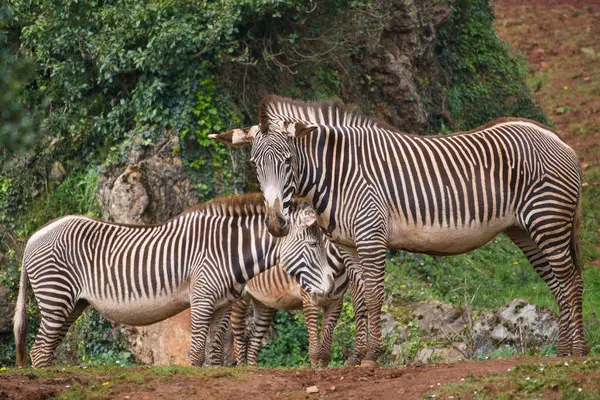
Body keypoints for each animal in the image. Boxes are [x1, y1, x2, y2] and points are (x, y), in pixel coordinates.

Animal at [12, 192, 338, 368]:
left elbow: (215, 354)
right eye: (313, 245)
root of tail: (35, 235)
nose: (330, 289)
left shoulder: (222, 305)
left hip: (72, 303)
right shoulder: (202, 298)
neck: (226, 249)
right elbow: (195, 353)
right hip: (56, 298)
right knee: (39, 350)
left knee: (44, 350)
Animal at [227, 241, 366, 368]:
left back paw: (253, 369)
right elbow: (315, 346)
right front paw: (315, 370)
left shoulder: (335, 303)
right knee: (238, 339)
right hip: (241, 299)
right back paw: (240, 369)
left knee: (253, 340)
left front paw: (323, 370)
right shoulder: (309, 300)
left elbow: (326, 346)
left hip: (263, 302)